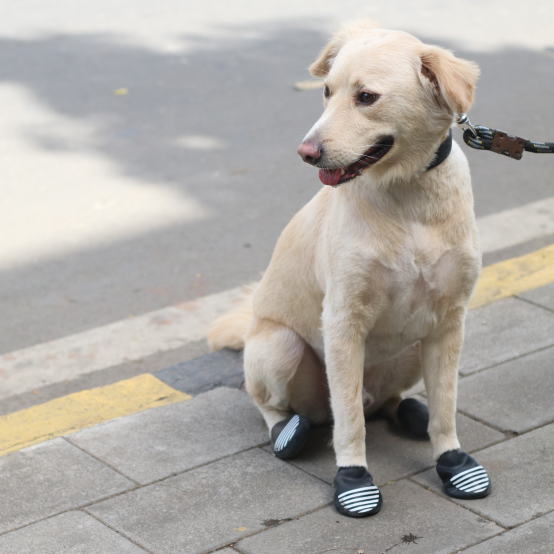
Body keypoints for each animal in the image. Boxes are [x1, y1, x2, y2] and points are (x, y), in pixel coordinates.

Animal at [207, 19, 488, 516]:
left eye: (367, 97)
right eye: (325, 91)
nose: (306, 152)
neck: (407, 197)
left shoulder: (449, 322)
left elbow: (447, 406)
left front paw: (453, 462)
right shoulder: (343, 322)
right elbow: (349, 419)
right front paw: (353, 479)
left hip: (412, 349)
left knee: (385, 402)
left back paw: (410, 412)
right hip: (279, 347)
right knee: (283, 408)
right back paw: (289, 434)